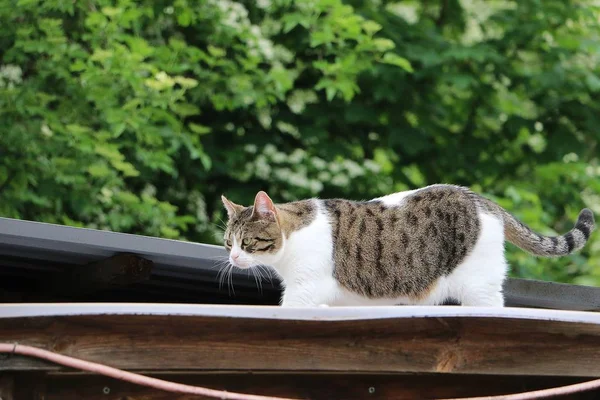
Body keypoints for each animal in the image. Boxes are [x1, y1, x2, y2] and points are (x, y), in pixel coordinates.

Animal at [221, 184, 596, 306]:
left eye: (247, 242)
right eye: (228, 243)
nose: (234, 258)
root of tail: (481, 199)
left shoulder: (305, 289)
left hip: (479, 285)